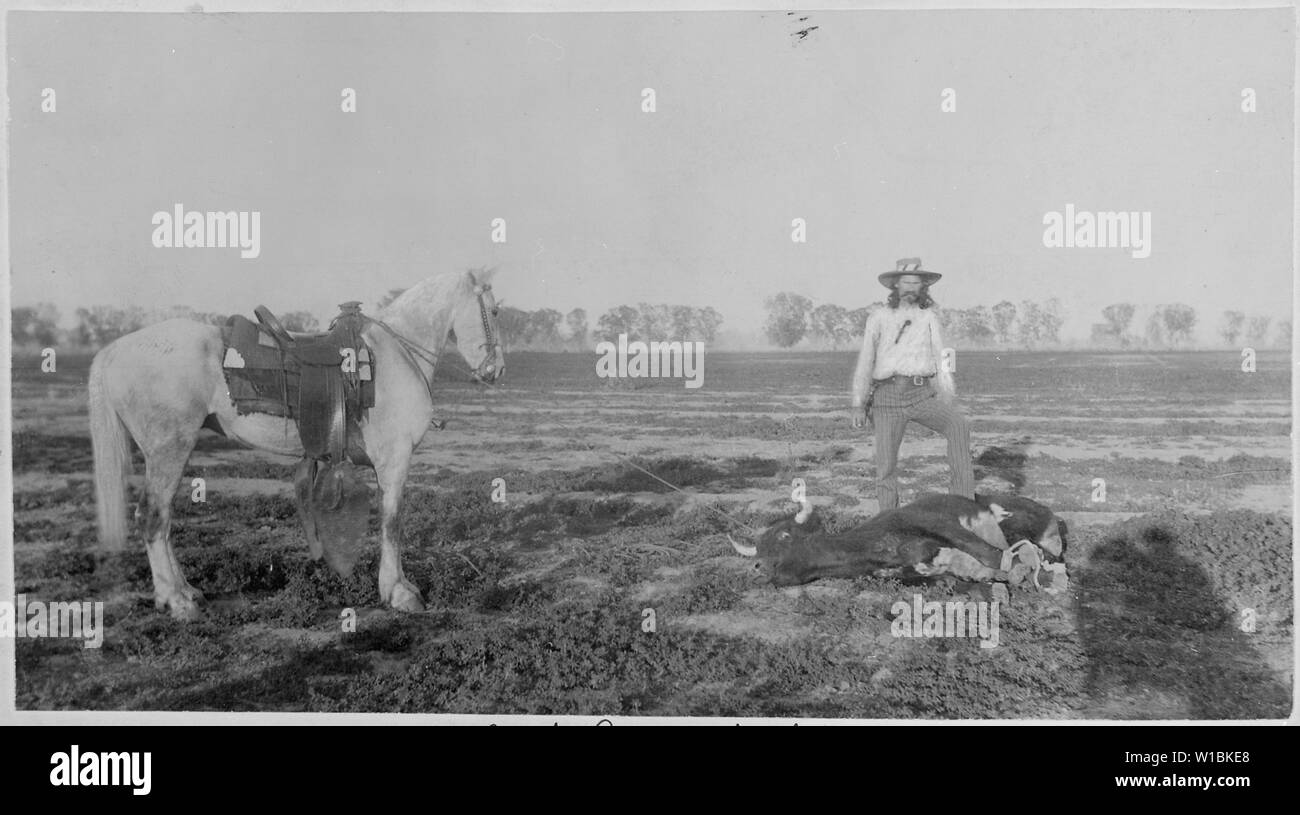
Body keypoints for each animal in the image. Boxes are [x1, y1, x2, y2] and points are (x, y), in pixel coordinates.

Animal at [86, 267, 501, 618]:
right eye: (495, 310)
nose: (496, 370)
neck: (396, 353)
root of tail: (114, 350)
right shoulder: (395, 461)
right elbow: (392, 522)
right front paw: (400, 592)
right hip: (168, 450)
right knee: (153, 516)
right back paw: (175, 601)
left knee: (164, 518)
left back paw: (186, 591)